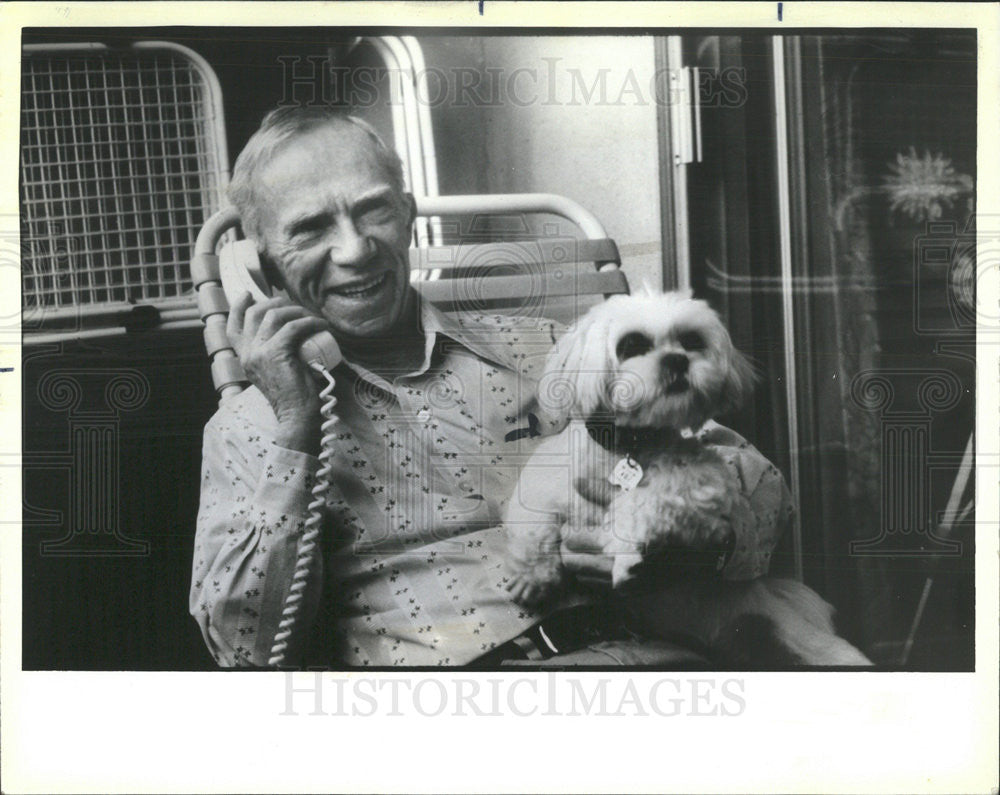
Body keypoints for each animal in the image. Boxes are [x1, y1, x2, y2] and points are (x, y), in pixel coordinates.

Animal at [504, 290, 872, 664]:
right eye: (631, 344)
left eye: (692, 341)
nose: (677, 360)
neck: (628, 447)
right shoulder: (545, 482)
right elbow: (532, 521)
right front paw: (533, 576)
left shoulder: (707, 488)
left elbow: (646, 499)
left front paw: (628, 553)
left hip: (812, 644)